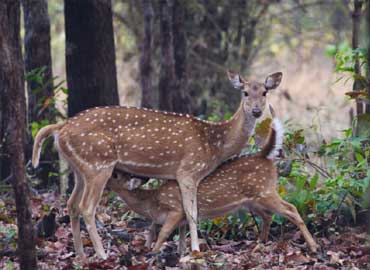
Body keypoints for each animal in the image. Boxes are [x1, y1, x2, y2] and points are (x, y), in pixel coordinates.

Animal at [33, 70, 282, 258]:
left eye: (265, 92)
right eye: (245, 92)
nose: (256, 110)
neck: (214, 144)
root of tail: (60, 129)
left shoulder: (178, 176)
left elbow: (180, 216)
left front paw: (180, 250)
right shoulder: (188, 171)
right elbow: (192, 212)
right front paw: (195, 250)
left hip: (79, 169)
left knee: (71, 204)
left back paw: (81, 255)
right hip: (98, 164)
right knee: (87, 207)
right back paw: (102, 255)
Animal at [107, 111, 318, 253]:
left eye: (116, 175)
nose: (108, 175)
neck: (152, 203)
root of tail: (265, 156)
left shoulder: (175, 209)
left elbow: (164, 232)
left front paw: (154, 252)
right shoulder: (177, 218)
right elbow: (171, 234)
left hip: (265, 191)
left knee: (291, 209)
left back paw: (314, 246)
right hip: (252, 200)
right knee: (267, 215)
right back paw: (260, 244)